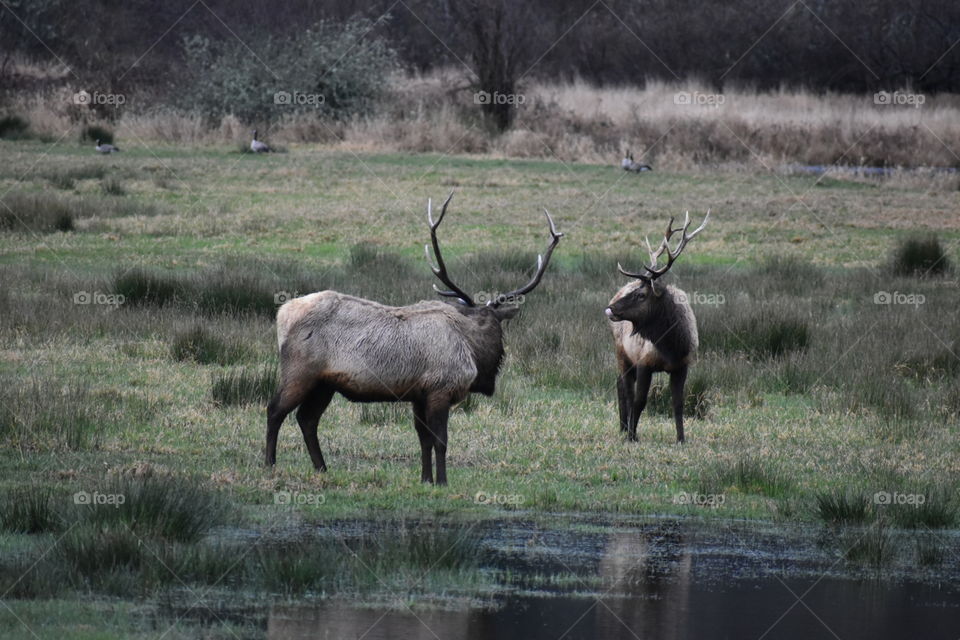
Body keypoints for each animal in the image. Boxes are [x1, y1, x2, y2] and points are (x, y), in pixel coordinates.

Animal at [265, 193, 563, 485]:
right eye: (496, 326)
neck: (472, 351)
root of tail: (283, 314)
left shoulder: (419, 394)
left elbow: (424, 441)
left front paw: (425, 479)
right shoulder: (441, 388)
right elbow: (441, 441)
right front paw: (442, 482)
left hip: (325, 383)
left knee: (307, 419)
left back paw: (322, 468)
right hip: (300, 371)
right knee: (275, 409)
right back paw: (269, 464)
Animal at [604, 211, 709, 444]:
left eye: (642, 295)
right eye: (636, 291)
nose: (610, 307)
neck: (672, 346)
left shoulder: (682, 366)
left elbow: (678, 403)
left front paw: (681, 438)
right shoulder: (645, 362)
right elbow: (640, 401)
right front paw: (633, 436)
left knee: (620, 384)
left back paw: (623, 426)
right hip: (621, 352)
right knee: (625, 388)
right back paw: (625, 428)